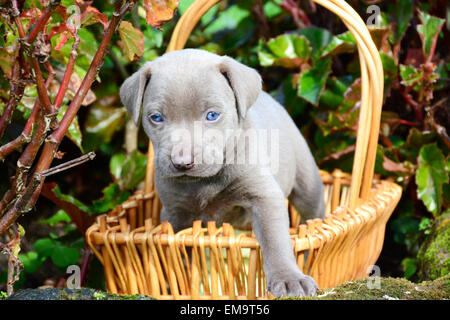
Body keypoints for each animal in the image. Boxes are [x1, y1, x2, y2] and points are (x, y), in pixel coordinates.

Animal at [119, 49, 324, 298]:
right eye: (156, 117)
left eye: (212, 115)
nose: (182, 162)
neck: (205, 181)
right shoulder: (176, 214)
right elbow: (178, 251)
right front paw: (180, 284)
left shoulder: (265, 197)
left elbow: (275, 239)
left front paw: (289, 279)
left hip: (307, 184)